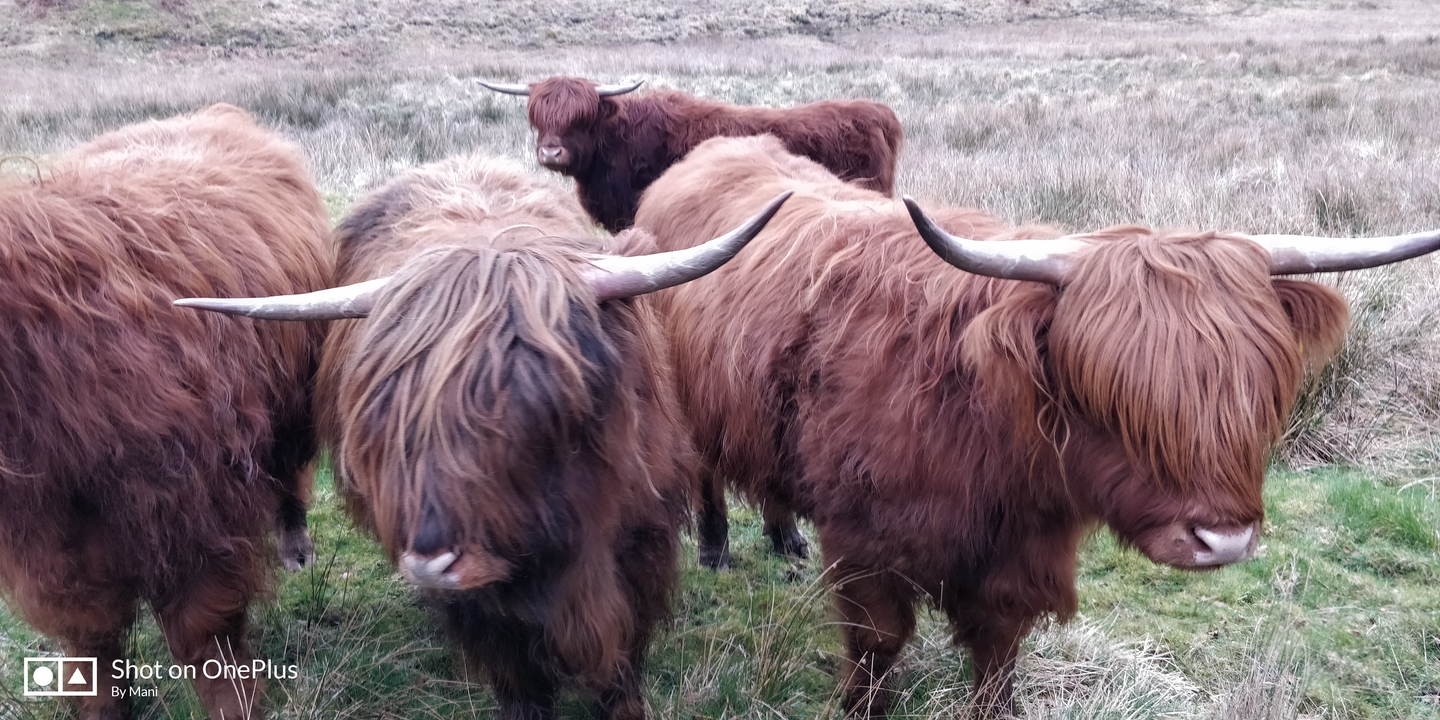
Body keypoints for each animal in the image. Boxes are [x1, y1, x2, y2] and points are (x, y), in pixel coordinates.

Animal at [0, 104, 331, 719]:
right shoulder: (46, 550)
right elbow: (91, 645)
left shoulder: (194, 511)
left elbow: (206, 636)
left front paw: (237, 707)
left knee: (291, 469)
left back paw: (296, 547)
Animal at [175, 154, 790, 720]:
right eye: (385, 421)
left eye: (543, 405)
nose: (431, 562)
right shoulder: (484, 606)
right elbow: (515, 674)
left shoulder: (642, 549)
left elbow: (621, 670)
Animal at [633, 134, 1440, 717]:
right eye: (1116, 398)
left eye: (1258, 392)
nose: (1225, 540)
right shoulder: (867, 547)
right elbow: (877, 651)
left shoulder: (1018, 561)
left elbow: (997, 659)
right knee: (706, 472)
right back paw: (716, 547)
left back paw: (784, 539)